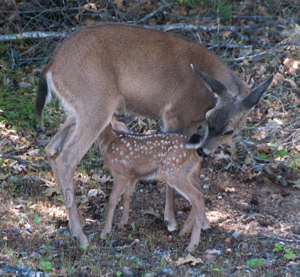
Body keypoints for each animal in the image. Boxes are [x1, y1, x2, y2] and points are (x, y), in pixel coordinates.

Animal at [97, 116, 210, 252]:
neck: (109, 141)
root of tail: (196, 151)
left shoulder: (121, 171)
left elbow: (113, 199)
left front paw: (105, 232)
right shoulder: (133, 175)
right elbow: (127, 195)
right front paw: (122, 224)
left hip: (172, 171)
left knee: (197, 197)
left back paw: (191, 245)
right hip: (189, 172)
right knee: (201, 194)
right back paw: (184, 231)